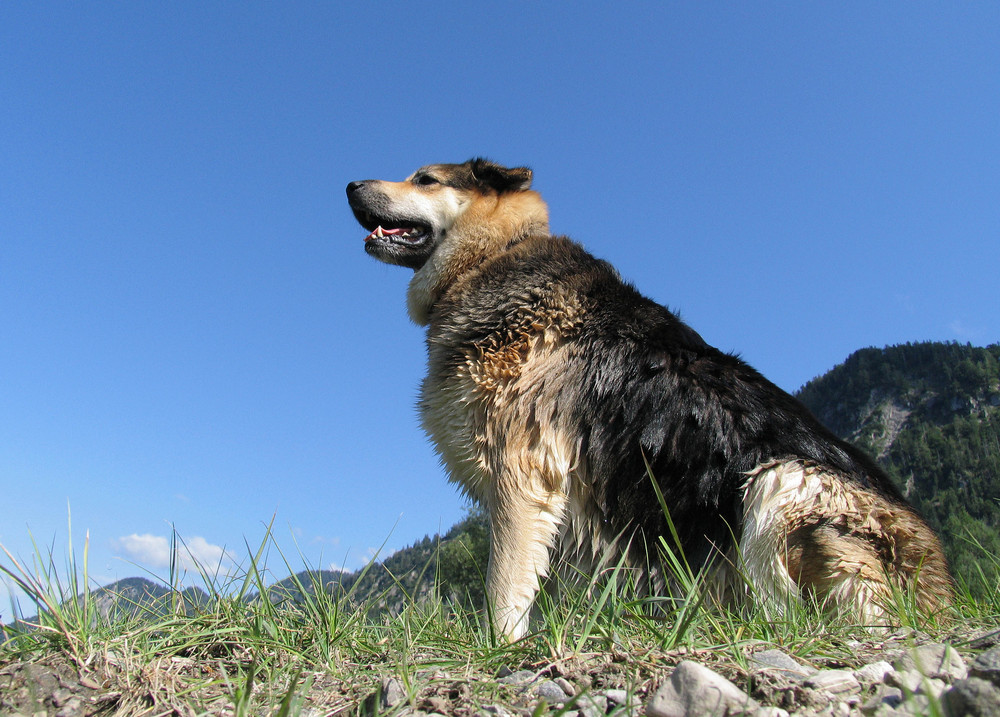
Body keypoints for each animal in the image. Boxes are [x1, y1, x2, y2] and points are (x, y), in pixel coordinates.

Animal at [350, 157, 952, 636]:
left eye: (424, 179)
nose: (350, 184)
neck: (494, 254)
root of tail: (940, 587)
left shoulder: (523, 478)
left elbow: (503, 587)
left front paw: (499, 649)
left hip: (783, 482)